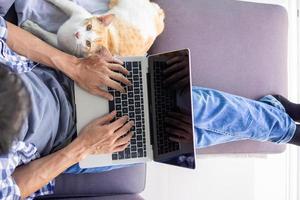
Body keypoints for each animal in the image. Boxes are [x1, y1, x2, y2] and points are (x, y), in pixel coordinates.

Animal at [22, 0, 165, 57]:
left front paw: (31, 27)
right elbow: (62, 2)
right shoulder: (77, 11)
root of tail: (159, 13)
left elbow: (47, 36)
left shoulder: (62, 45)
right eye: (89, 27)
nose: (77, 34)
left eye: (88, 44)